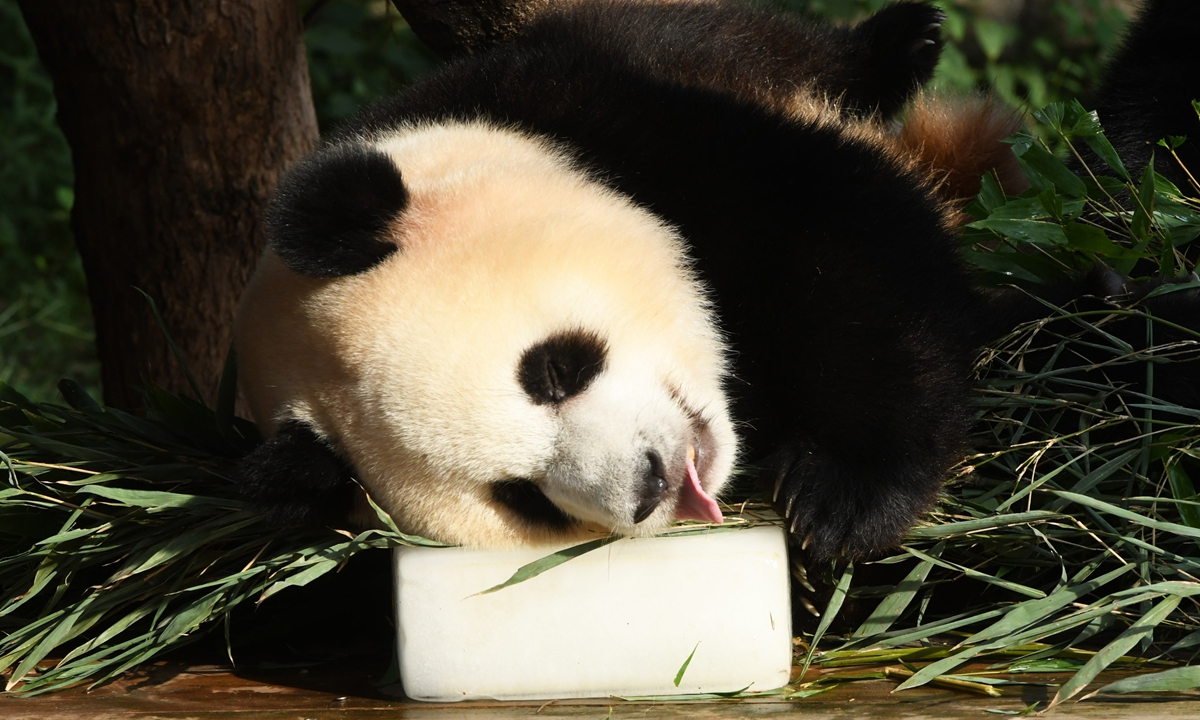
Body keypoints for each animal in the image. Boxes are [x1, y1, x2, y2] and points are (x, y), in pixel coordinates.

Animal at [236, 0, 1022, 560]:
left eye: (553, 370)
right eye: (524, 498)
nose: (652, 483)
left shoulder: (597, 113)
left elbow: (851, 254)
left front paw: (839, 499)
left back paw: (907, 39)